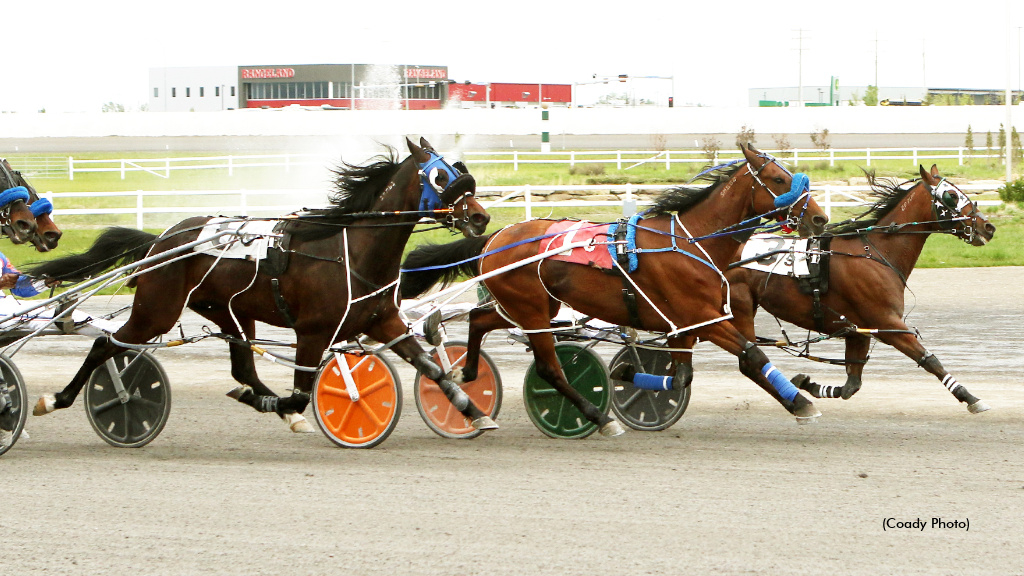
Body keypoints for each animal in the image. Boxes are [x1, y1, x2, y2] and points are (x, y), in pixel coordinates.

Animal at [28, 139, 499, 432]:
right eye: (440, 177)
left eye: (458, 169)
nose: (480, 216)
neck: (350, 249)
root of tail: (162, 240)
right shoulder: (313, 331)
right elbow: (301, 394)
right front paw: (282, 406)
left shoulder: (383, 321)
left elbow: (433, 368)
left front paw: (473, 411)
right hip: (155, 310)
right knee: (105, 344)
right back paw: (54, 399)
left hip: (228, 312)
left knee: (243, 367)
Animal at [399, 142, 831, 430]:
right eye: (778, 178)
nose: (820, 219)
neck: (692, 241)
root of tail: (497, 236)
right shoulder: (702, 317)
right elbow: (752, 355)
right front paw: (802, 403)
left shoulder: (686, 325)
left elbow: (684, 376)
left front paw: (627, 375)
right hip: (532, 310)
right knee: (549, 366)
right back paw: (597, 417)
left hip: (533, 306)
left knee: (478, 319)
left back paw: (465, 373)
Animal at [729, 163, 999, 409]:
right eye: (951, 195)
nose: (988, 227)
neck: (875, 253)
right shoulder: (887, 323)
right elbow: (929, 360)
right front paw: (970, 397)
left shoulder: (858, 329)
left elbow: (851, 385)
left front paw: (808, 383)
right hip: (740, 307)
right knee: (749, 358)